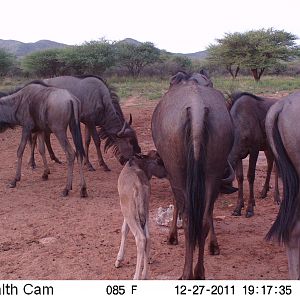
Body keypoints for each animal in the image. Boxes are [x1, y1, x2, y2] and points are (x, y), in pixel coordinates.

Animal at [114, 151, 166, 280]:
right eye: (159, 161)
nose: (166, 172)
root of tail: (139, 186)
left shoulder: (125, 209)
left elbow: (124, 229)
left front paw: (119, 259)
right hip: (145, 210)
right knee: (148, 237)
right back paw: (144, 274)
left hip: (130, 212)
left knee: (141, 238)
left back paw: (137, 276)